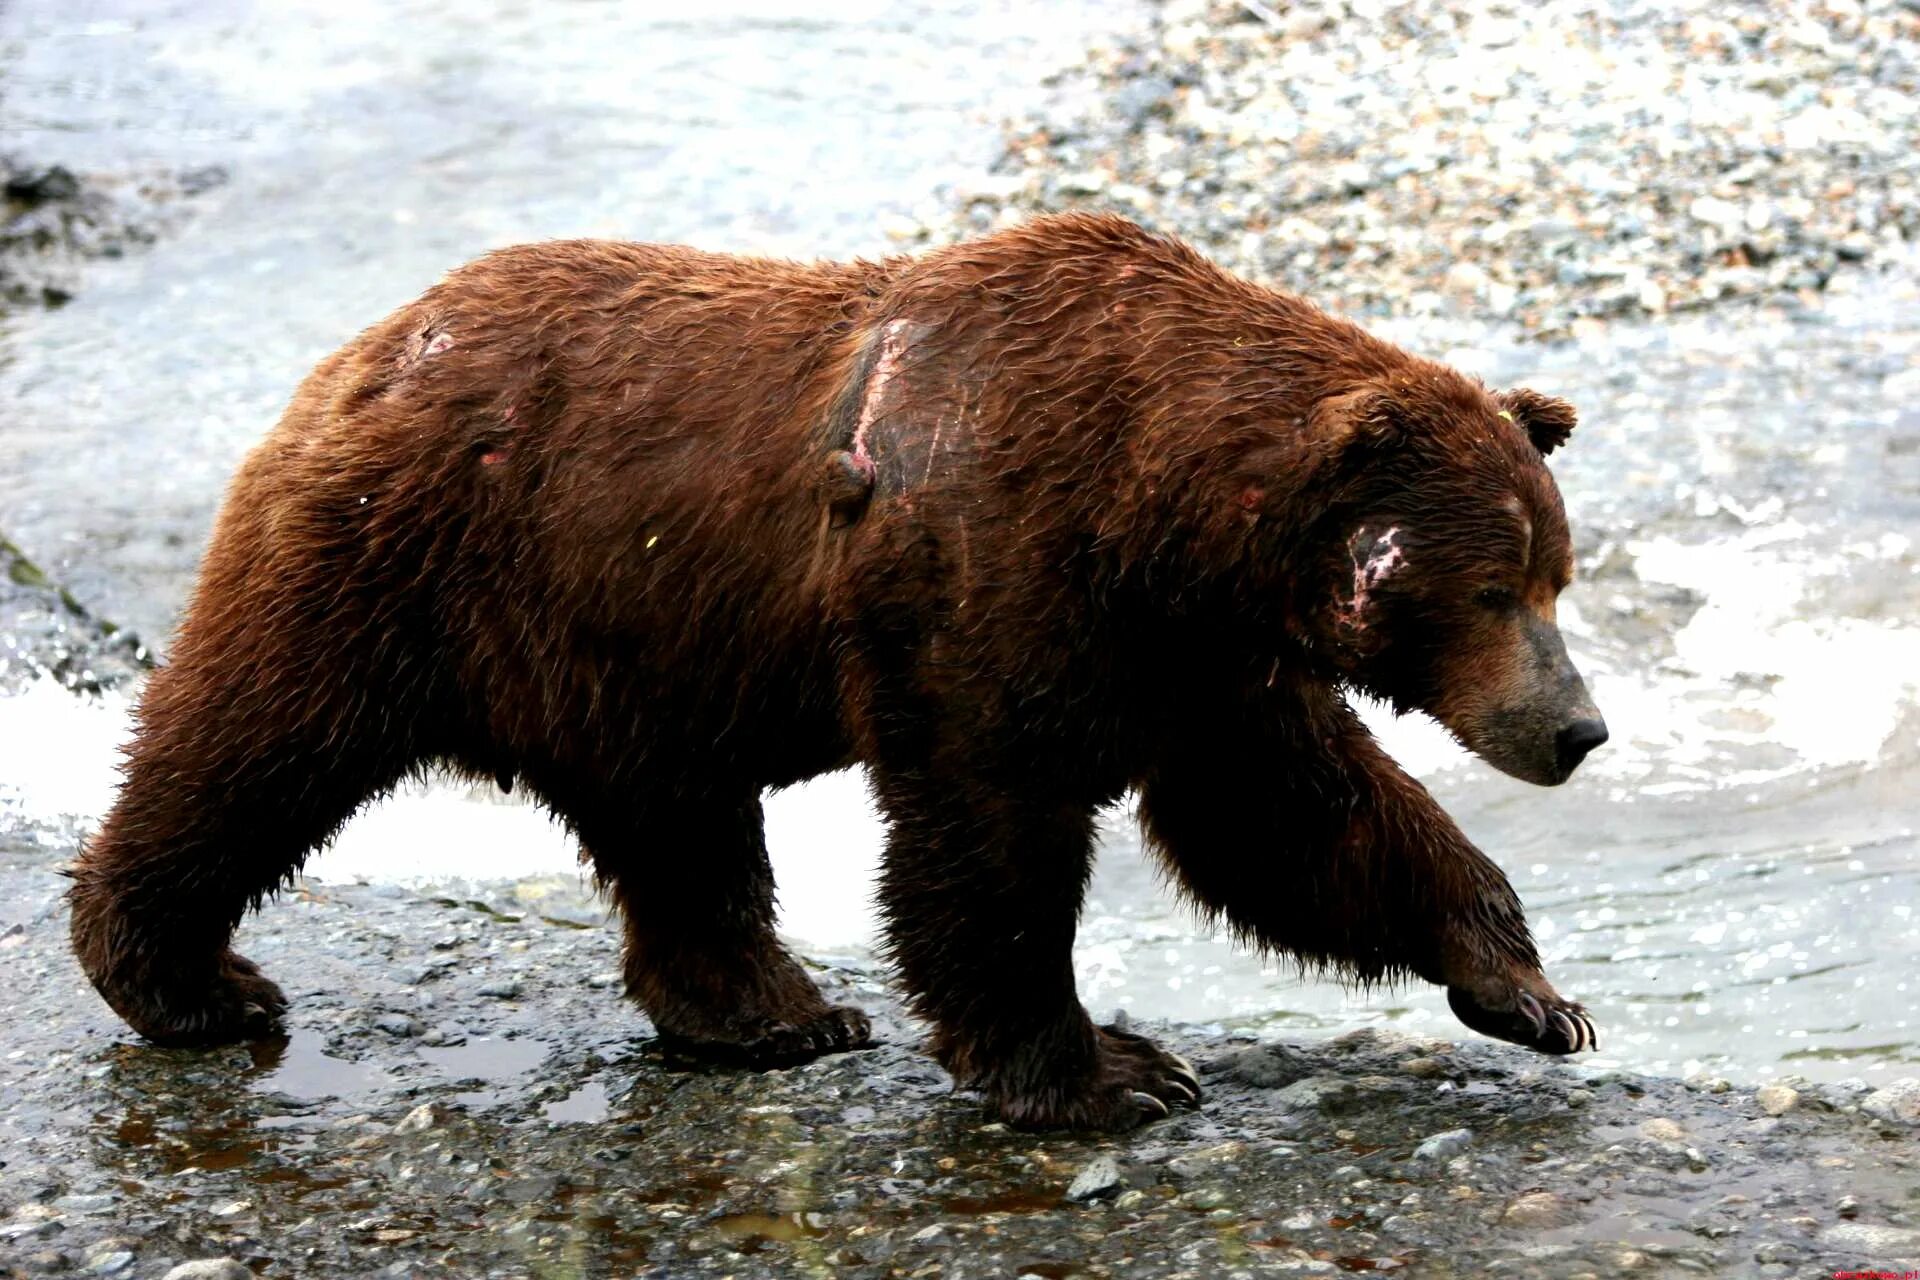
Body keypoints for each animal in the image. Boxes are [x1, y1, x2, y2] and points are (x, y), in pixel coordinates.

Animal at [67, 213, 1605, 1128]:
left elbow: (1298, 815)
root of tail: (363, 350)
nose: (1579, 727)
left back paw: (775, 1014)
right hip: (409, 558)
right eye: (1489, 585)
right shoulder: (995, 570)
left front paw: (1528, 990)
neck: (1160, 514)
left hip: (620, 647)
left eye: (1555, 573)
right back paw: (188, 978)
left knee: (678, 833)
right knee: (256, 744)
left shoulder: (1195, 652)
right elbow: (990, 829)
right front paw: (1105, 1066)